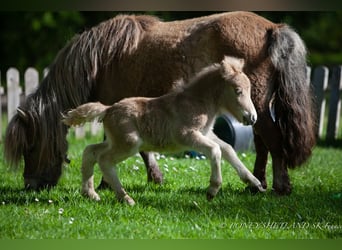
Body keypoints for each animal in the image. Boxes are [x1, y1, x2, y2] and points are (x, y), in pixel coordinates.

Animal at [4, 11, 316, 194]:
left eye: (30, 147)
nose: (31, 186)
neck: (102, 59)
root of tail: (273, 28)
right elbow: (142, 148)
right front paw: (152, 177)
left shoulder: (117, 106)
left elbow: (122, 146)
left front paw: (109, 182)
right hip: (253, 111)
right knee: (262, 143)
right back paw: (257, 183)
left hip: (258, 107)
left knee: (272, 140)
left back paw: (279, 187)